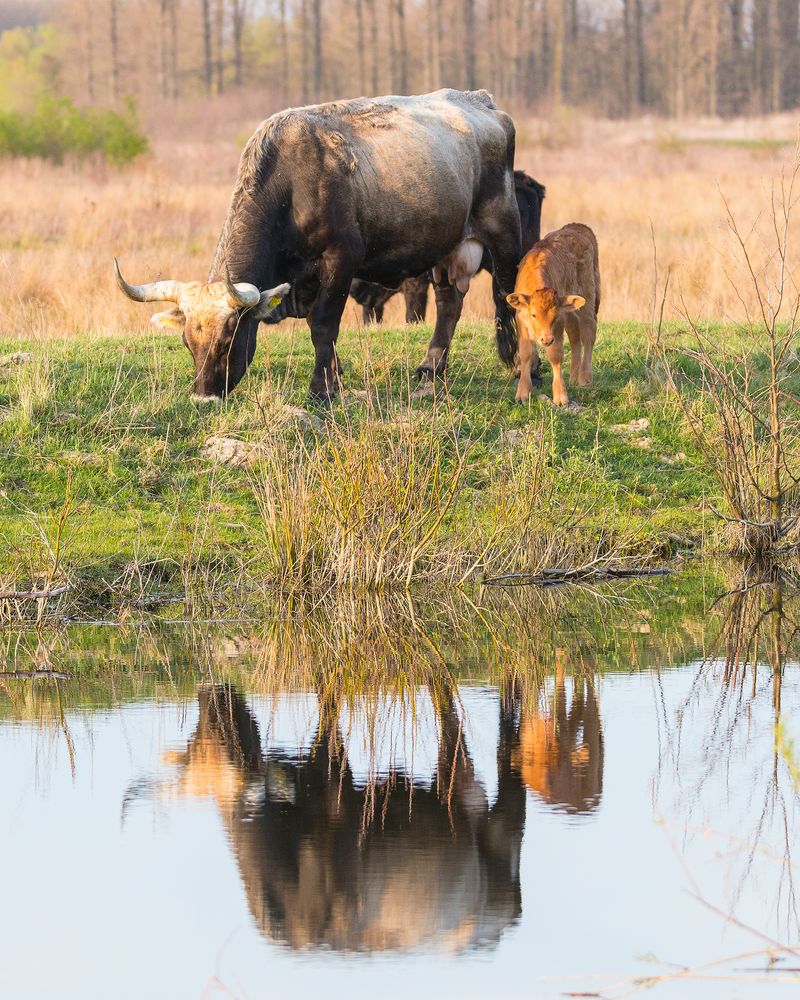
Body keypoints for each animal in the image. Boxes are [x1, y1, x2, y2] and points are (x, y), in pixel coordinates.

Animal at [115, 89, 520, 402]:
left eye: (229, 338)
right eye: (187, 341)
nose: (203, 396)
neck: (291, 186)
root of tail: (481, 101)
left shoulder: (340, 261)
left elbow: (323, 326)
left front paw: (321, 389)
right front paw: (334, 378)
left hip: (504, 232)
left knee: (508, 294)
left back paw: (521, 367)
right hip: (448, 247)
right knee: (449, 303)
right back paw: (430, 367)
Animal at [506, 221, 600, 404]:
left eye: (554, 315)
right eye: (533, 314)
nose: (546, 339)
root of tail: (579, 227)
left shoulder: (559, 323)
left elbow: (555, 355)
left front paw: (560, 395)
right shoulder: (522, 322)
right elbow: (526, 354)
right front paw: (522, 393)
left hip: (587, 299)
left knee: (588, 332)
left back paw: (585, 377)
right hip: (571, 311)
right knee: (575, 336)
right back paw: (573, 377)